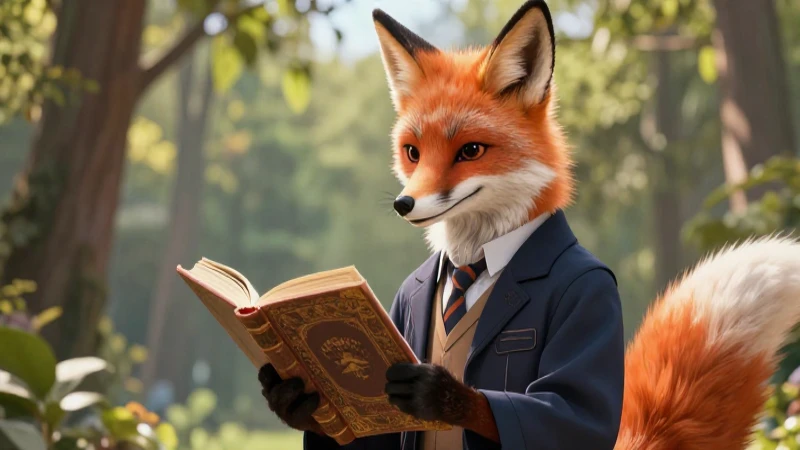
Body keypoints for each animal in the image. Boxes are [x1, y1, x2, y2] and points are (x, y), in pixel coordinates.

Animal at [259, 1, 800, 449]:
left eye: (470, 151)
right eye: (412, 152)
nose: (403, 203)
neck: (473, 260)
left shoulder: (591, 311)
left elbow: (559, 413)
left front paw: (444, 394)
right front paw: (295, 401)